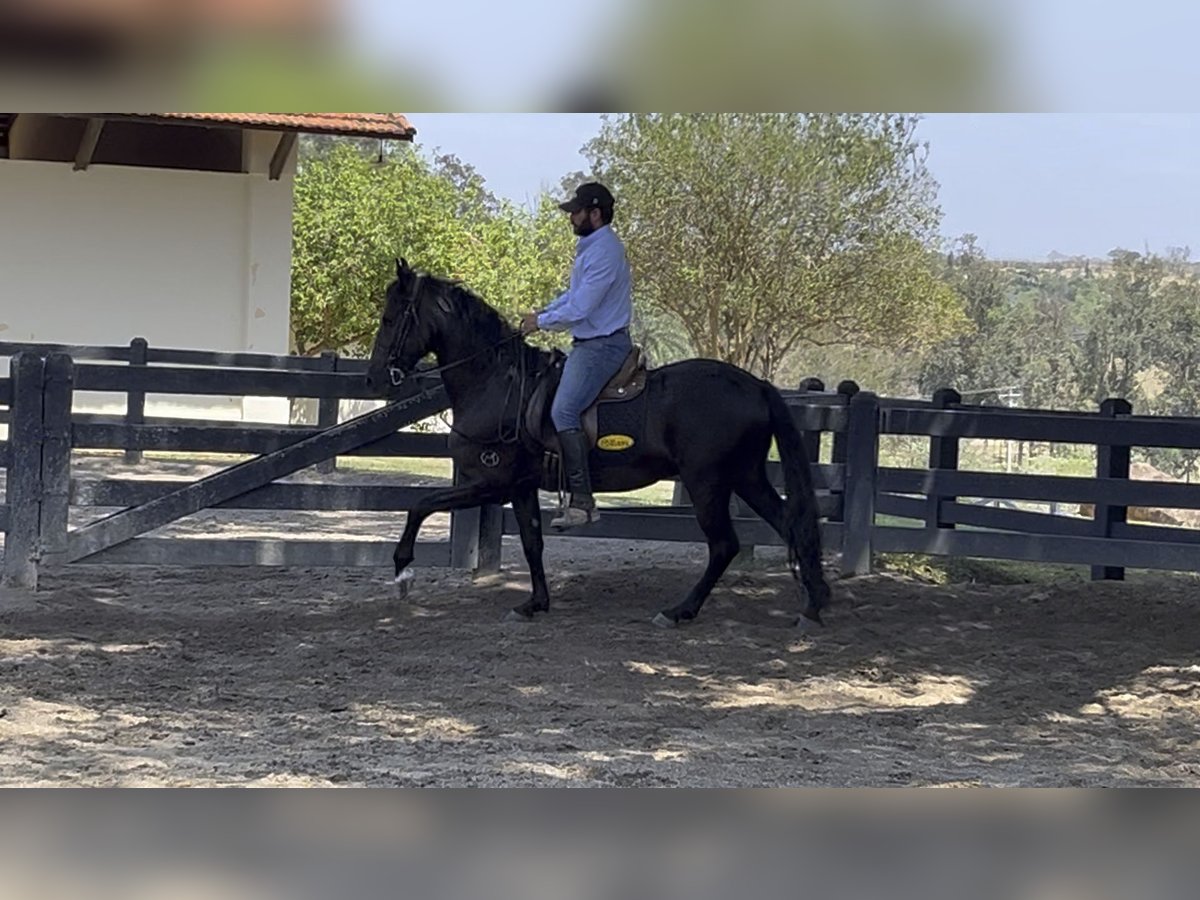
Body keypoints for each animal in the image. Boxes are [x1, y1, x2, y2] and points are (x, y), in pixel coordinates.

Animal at [364, 260, 830, 628]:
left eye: (389, 318)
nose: (373, 379)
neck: (499, 383)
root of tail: (756, 385)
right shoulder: (520, 487)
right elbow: (532, 542)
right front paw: (535, 603)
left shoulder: (491, 483)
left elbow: (420, 505)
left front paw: (403, 571)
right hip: (745, 476)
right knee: (789, 525)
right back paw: (811, 605)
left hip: (707, 482)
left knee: (724, 545)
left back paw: (680, 611)